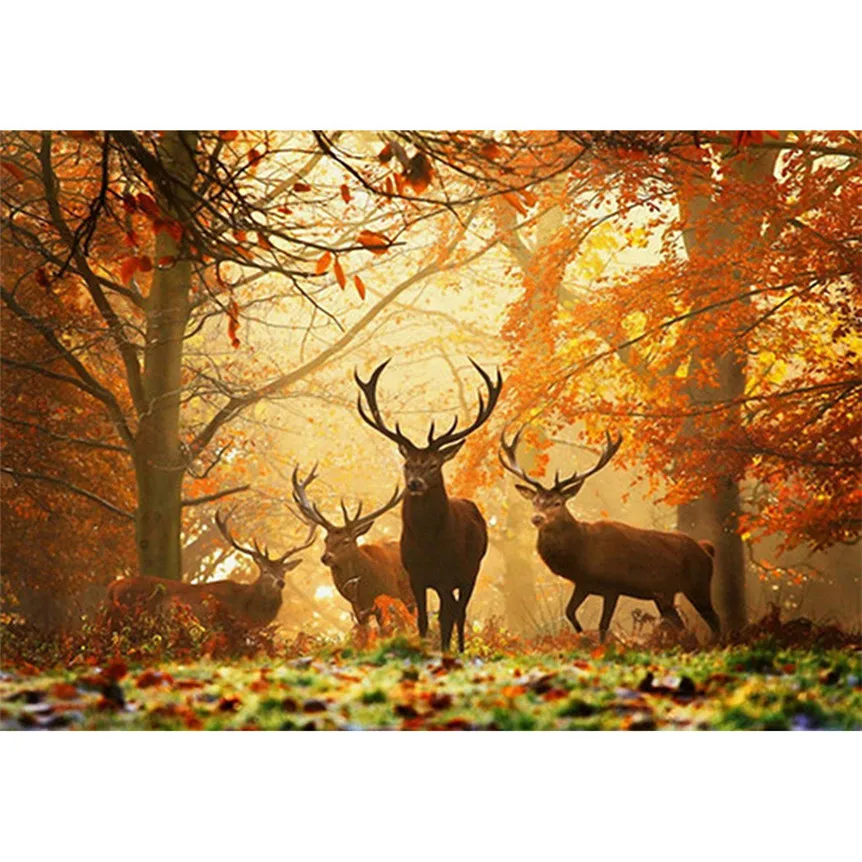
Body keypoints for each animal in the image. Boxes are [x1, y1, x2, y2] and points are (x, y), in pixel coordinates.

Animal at [355, 357, 503, 652]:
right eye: (407, 464)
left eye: (434, 464)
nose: (415, 483)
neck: (428, 544)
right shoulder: (416, 576)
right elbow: (423, 620)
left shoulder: (449, 573)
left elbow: (448, 616)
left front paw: (447, 651)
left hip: (472, 569)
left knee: (459, 611)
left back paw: (459, 649)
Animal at [499, 426, 721, 643]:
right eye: (534, 501)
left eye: (557, 502)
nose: (537, 518)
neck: (582, 554)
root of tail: (706, 548)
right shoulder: (584, 584)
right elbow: (569, 612)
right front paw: (582, 637)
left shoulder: (613, 586)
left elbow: (603, 625)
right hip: (664, 594)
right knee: (679, 623)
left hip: (698, 584)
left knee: (714, 619)